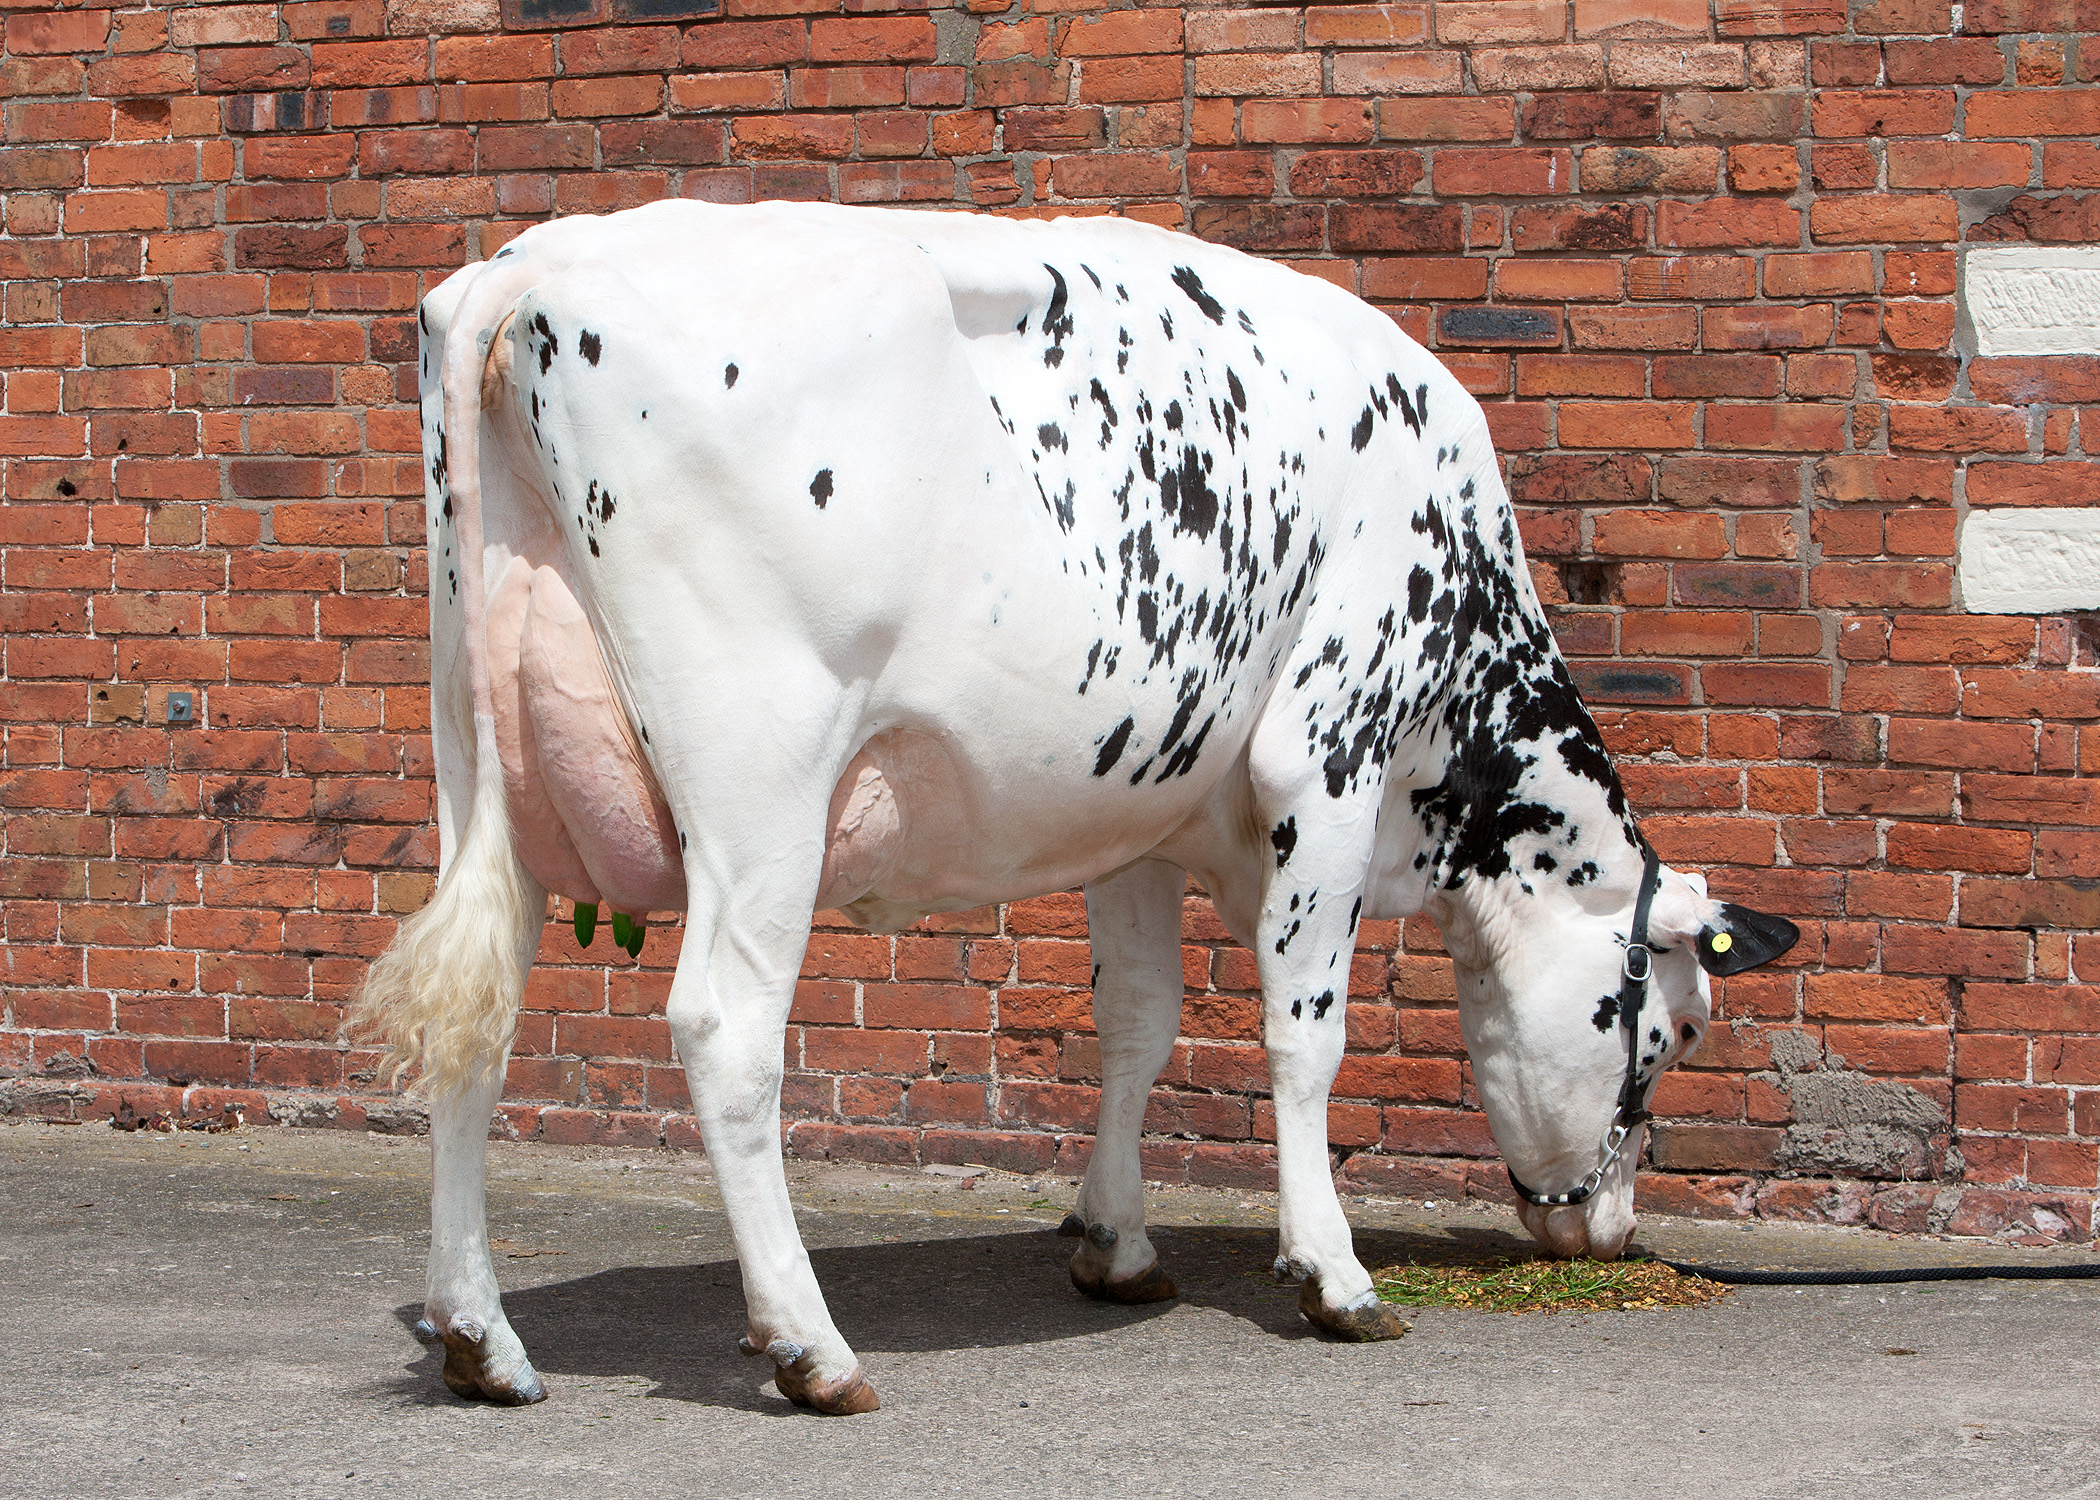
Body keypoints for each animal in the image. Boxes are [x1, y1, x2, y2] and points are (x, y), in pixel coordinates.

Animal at [346, 200, 1799, 1415]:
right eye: (1670, 1030)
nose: (1603, 1229)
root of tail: (541, 262)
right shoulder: (1324, 759)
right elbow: (1302, 1036)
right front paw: (1334, 1275)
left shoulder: (1140, 807)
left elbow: (1138, 1025)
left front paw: (1117, 1241)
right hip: (762, 784)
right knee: (722, 1030)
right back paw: (812, 1348)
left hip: (476, 758)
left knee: (477, 1013)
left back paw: (479, 1338)